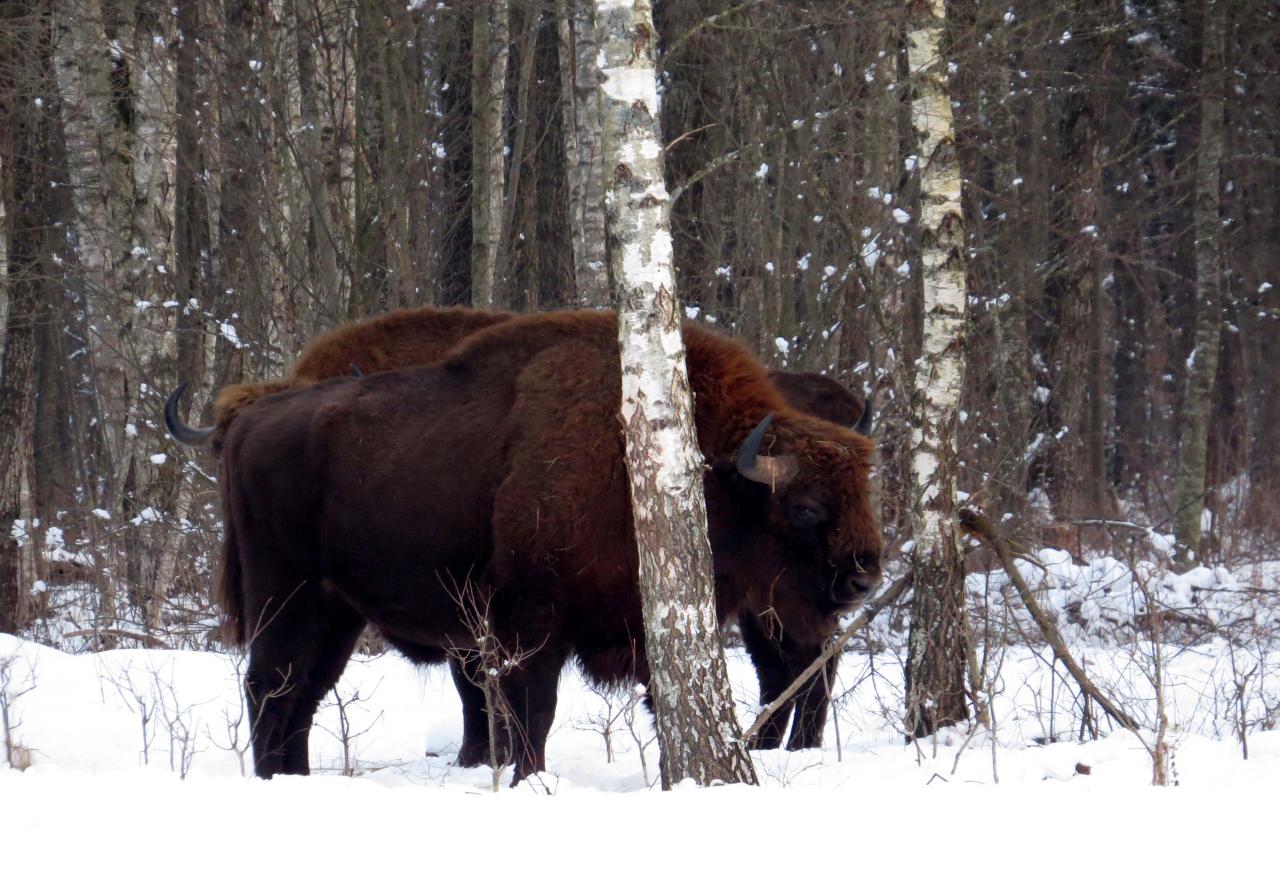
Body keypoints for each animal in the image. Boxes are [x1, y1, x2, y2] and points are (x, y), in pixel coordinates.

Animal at [165, 305, 875, 752]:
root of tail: (252, 425)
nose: (863, 574)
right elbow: (524, 712)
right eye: (805, 506)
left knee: (300, 691)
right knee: (274, 685)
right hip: (288, 594)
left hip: (334, 608)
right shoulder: (526, 623)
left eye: (864, 490)